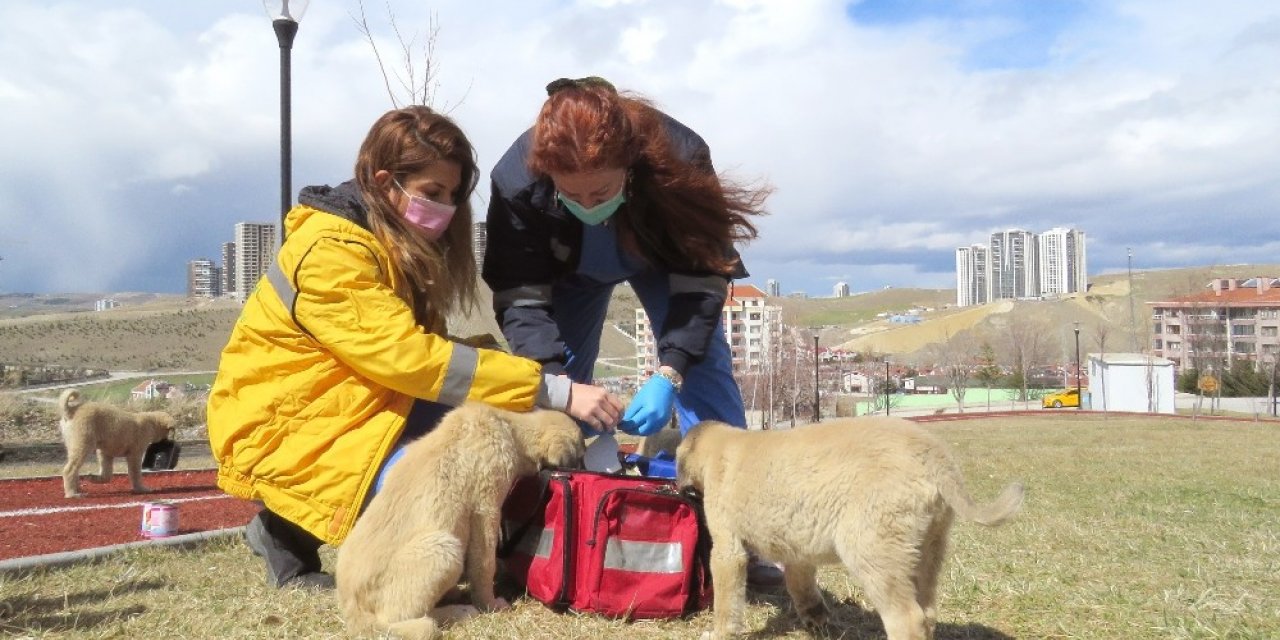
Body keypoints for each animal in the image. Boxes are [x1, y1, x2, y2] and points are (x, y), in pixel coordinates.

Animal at [335, 401, 586, 637]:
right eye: (581, 456)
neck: (509, 428)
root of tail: (352, 611)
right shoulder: (486, 508)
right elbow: (485, 566)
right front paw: (491, 605)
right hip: (444, 549)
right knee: (400, 621)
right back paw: (457, 611)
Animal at [675, 414, 1024, 640]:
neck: (720, 445)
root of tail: (936, 458)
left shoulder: (727, 546)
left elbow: (726, 599)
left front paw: (719, 632)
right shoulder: (796, 549)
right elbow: (800, 584)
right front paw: (817, 620)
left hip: (874, 550)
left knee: (907, 619)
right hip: (927, 549)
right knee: (927, 613)